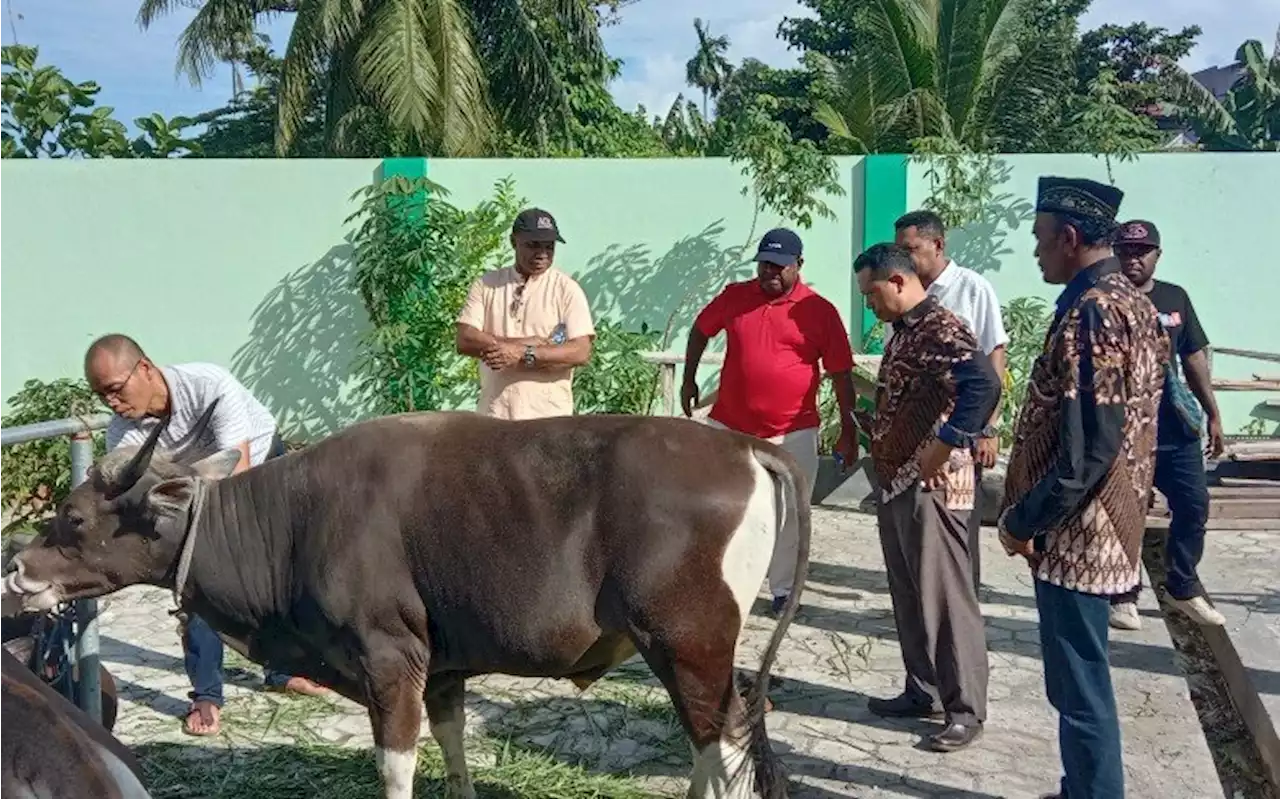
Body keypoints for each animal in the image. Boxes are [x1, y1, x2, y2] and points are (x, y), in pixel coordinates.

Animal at [2, 409, 808, 793]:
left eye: (74, 518)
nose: (17, 568)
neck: (291, 521)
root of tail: (743, 446)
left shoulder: (390, 661)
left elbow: (394, 767)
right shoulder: (442, 669)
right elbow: (452, 752)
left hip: (689, 647)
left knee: (724, 754)